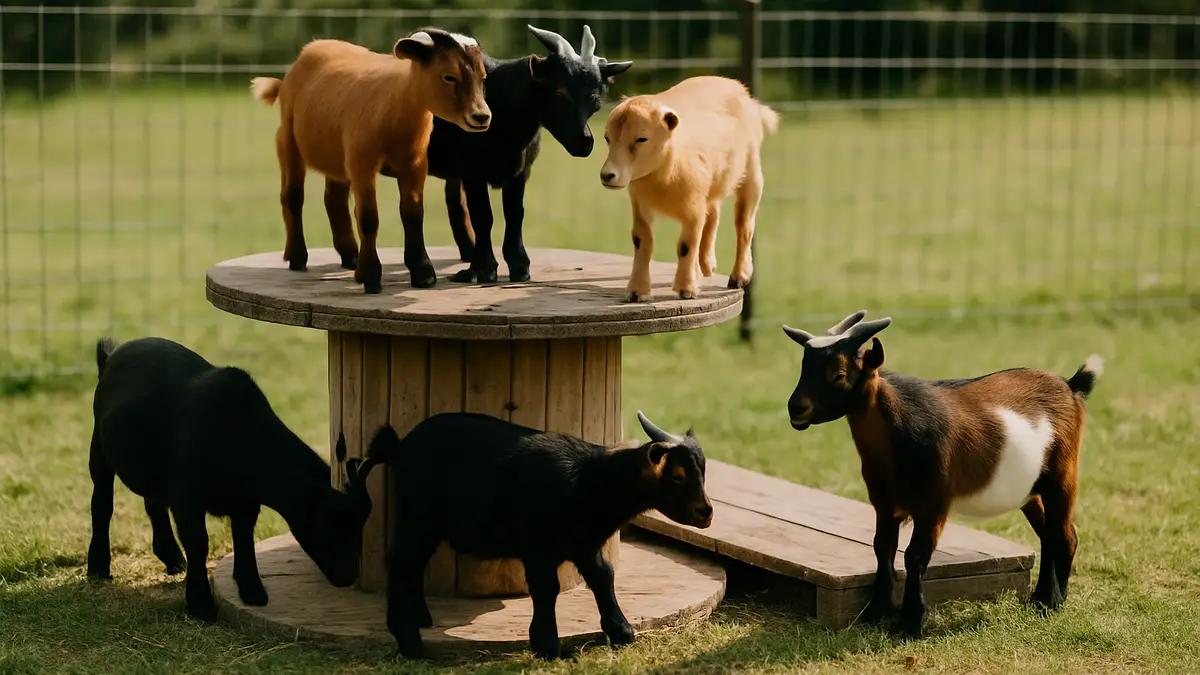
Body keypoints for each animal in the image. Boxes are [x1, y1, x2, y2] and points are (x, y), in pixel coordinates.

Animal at [86, 336, 376, 622]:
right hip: (99, 447)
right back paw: (98, 567)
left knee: (153, 502)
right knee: (102, 503)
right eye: (329, 526)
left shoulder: (246, 501)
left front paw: (252, 590)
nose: (347, 577)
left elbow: (243, 536)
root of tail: (111, 355)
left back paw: (172, 558)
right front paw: (201, 604)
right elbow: (198, 542)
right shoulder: (187, 496)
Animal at [250, 28, 490, 294]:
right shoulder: (362, 162)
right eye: (449, 77)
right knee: (292, 196)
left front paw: (423, 273)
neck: (397, 106)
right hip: (288, 140)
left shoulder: (415, 164)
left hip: (338, 155)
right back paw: (297, 257)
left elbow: (413, 213)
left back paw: (350, 256)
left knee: (334, 198)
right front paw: (370, 276)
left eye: (482, 77)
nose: (481, 116)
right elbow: (367, 217)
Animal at [356, 411, 713, 660]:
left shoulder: (584, 543)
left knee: (412, 565)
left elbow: (603, 576)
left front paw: (621, 632)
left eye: (703, 471)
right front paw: (548, 645)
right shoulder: (538, 547)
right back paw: (408, 640)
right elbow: (546, 587)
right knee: (401, 563)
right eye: (677, 476)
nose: (707, 513)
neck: (589, 480)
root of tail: (398, 447)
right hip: (418, 518)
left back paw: (420, 618)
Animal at [599, 75, 779, 302]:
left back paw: (739, 276)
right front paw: (637, 291)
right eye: (607, 138)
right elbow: (642, 241)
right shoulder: (640, 205)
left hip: (752, 175)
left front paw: (686, 289)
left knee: (744, 225)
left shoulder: (693, 207)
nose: (607, 175)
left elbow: (686, 245)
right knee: (713, 216)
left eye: (642, 138)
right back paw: (705, 266)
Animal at [782, 310, 1102, 637]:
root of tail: (1071, 386)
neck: (900, 431)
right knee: (1050, 533)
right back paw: (1042, 599)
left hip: (1063, 476)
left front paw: (909, 622)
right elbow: (882, 548)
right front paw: (876, 612)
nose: (796, 409)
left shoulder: (933, 503)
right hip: (1030, 490)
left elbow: (914, 556)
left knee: (1063, 534)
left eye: (839, 374)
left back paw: (1052, 602)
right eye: (803, 369)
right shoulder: (885, 504)